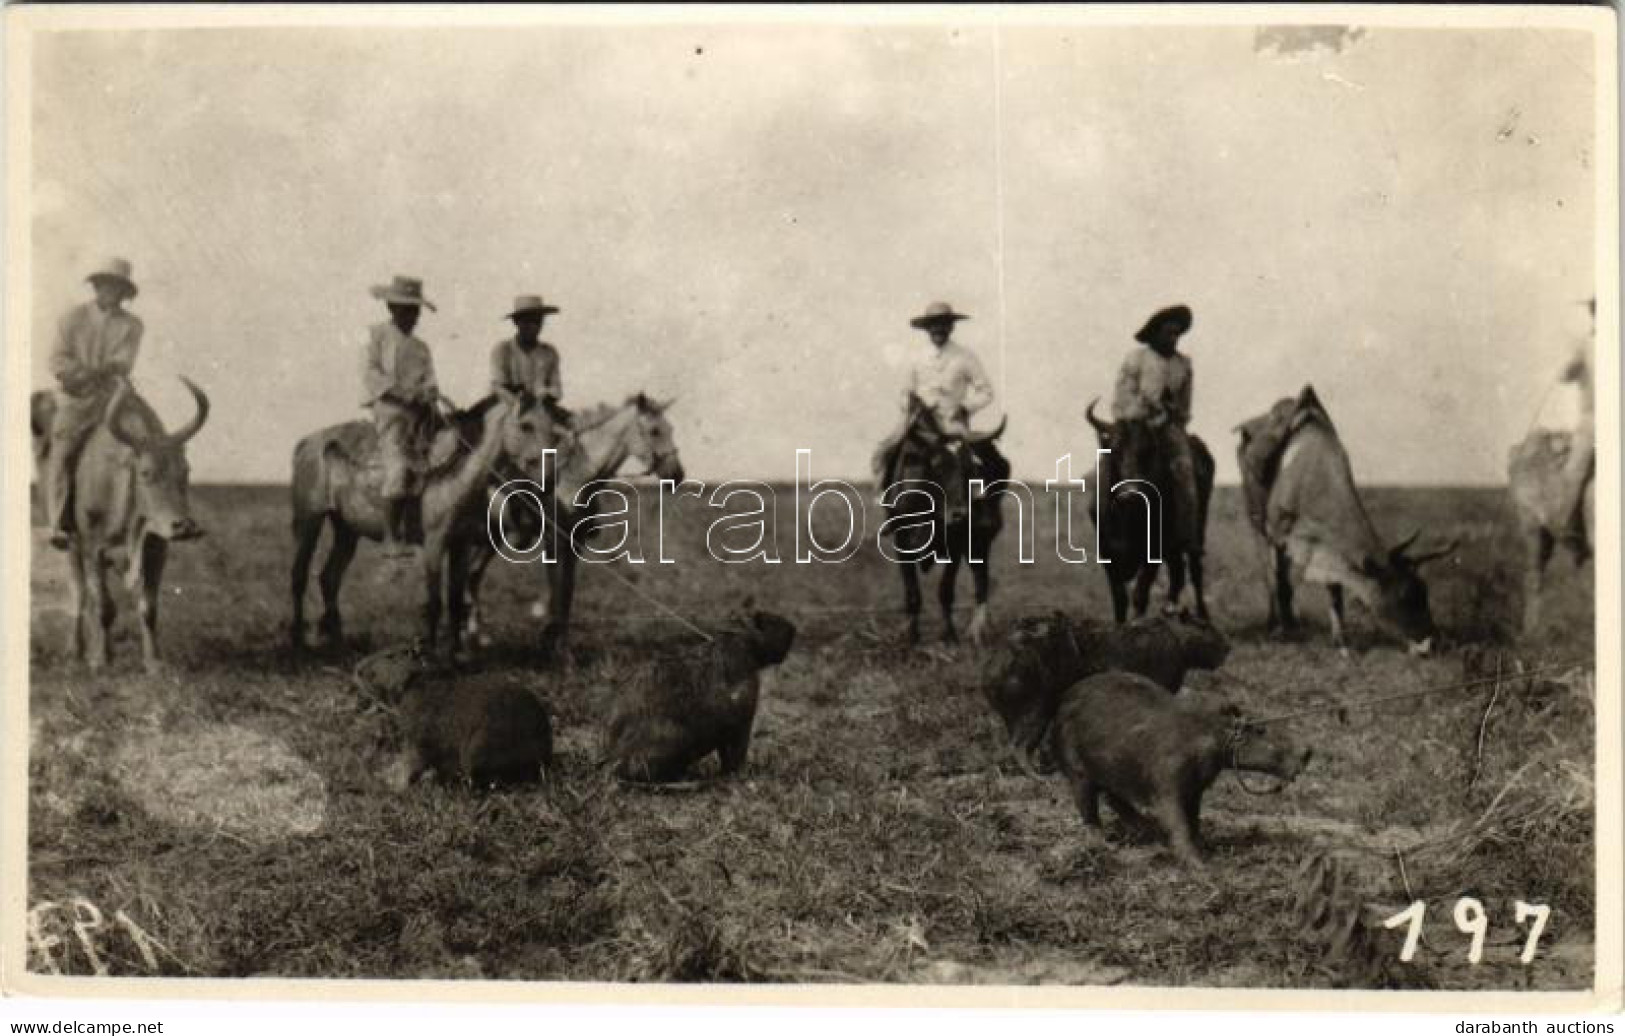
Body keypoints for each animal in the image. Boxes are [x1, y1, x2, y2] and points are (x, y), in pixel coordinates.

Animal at [29, 381, 209, 675]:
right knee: (80, 596)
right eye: (146, 472)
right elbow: (103, 606)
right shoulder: (93, 549)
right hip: (71, 546)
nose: (184, 526)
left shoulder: (156, 549)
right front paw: (101, 659)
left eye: (186, 470)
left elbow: (148, 607)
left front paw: (153, 662)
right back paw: (77, 650)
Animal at [1235, 389, 1456, 656]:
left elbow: (1335, 591)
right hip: (1257, 520)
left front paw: (1340, 640)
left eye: (1424, 590)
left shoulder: (1329, 546)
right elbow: (1282, 584)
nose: (1433, 643)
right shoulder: (1280, 535)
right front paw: (1287, 632)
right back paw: (1275, 623)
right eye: (1404, 596)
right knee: (1269, 573)